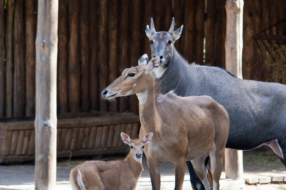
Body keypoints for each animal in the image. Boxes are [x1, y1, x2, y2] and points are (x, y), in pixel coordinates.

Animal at [103, 55, 230, 190]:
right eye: (124, 71)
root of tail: (221, 108)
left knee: (216, 184)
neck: (157, 128)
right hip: (198, 160)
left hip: (217, 152)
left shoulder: (179, 159)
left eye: (132, 73)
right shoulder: (152, 161)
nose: (105, 92)